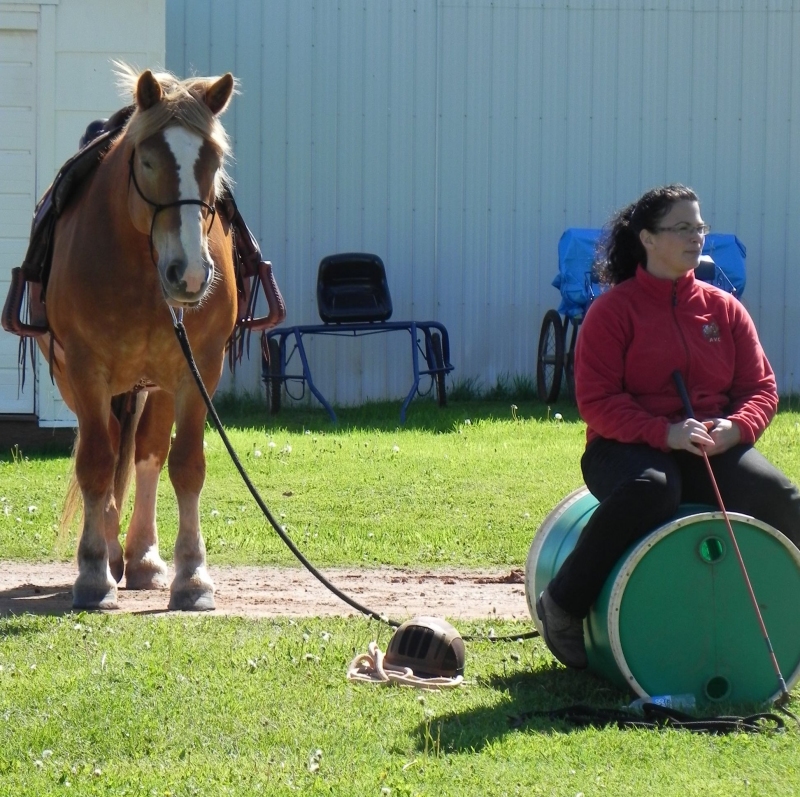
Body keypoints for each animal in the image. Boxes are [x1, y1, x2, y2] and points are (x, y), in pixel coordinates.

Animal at [38, 65, 238, 608]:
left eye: (213, 162)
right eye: (147, 160)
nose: (189, 274)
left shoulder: (199, 369)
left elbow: (186, 465)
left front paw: (193, 576)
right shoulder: (84, 368)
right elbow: (95, 464)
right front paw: (92, 573)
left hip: (159, 386)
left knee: (147, 454)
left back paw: (144, 558)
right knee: (108, 450)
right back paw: (110, 555)